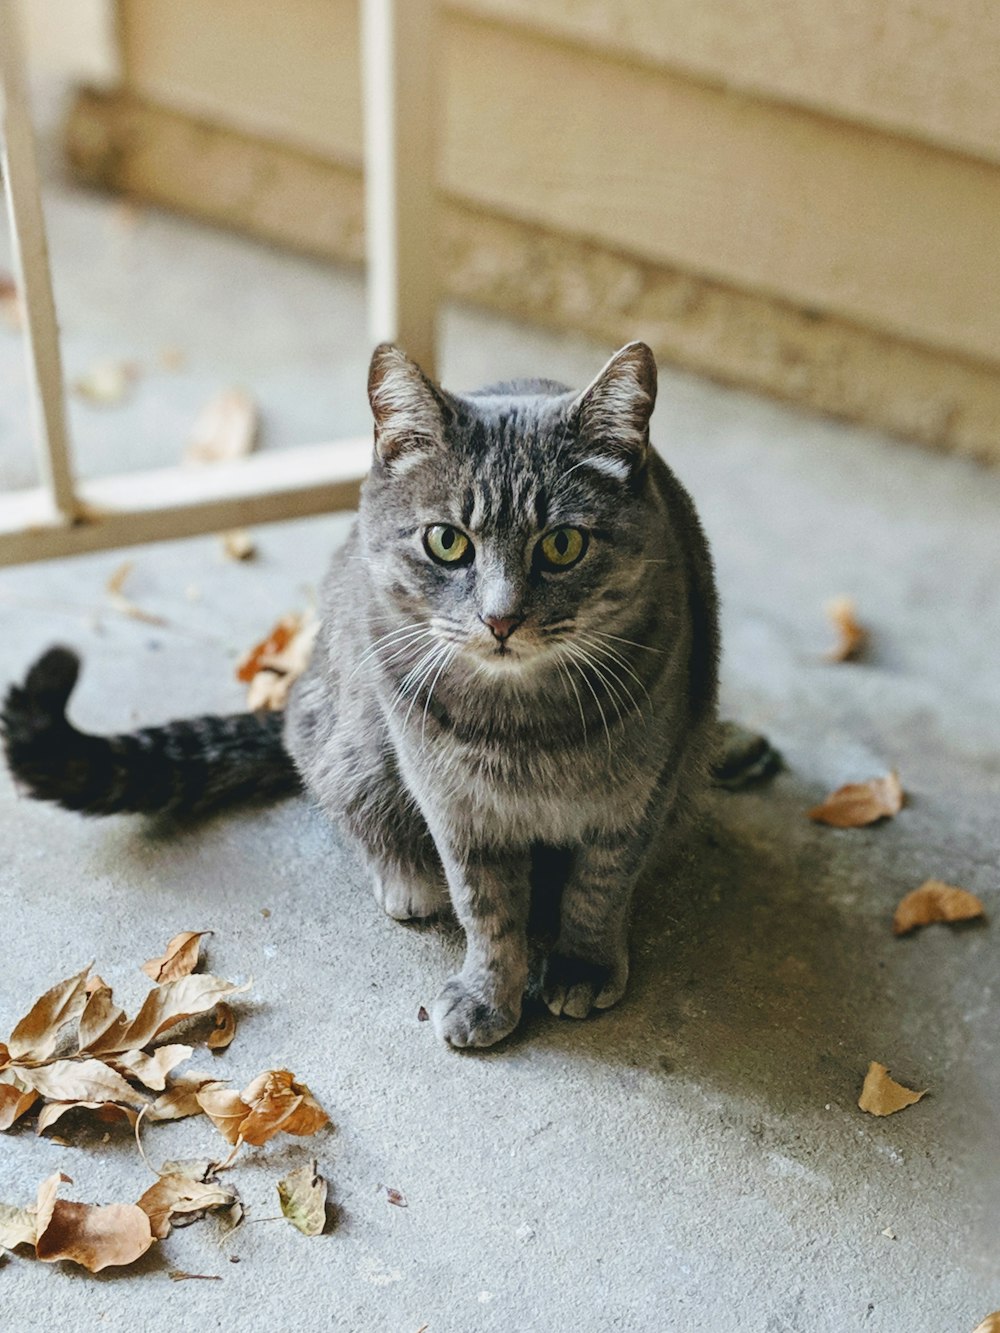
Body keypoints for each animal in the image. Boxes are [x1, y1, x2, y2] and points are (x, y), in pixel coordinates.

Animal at [1, 343, 773, 1050]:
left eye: (561, 545)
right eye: (446, 542)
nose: (500, 618)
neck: (526, 725)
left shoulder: (641, 792)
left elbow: (600, 887)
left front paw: (580, 963)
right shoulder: (455, 804)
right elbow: (487, 909)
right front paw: (489, 992)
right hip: (356, 741)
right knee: (336, 789)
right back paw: (406, 879)